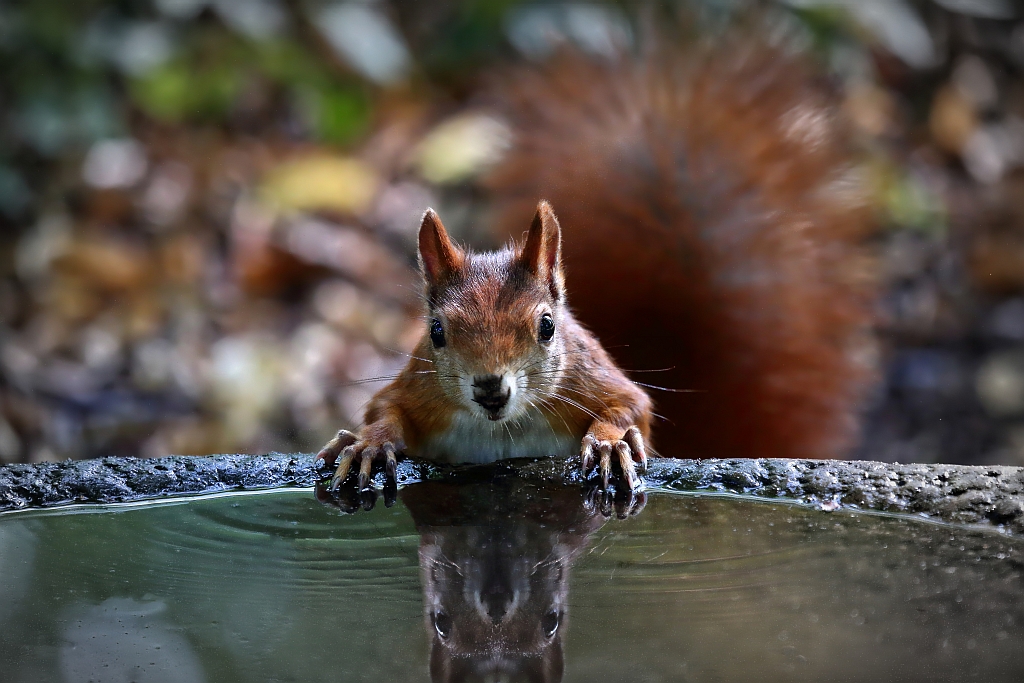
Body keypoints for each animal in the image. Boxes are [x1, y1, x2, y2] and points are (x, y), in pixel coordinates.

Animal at [315, 202, 651, 491]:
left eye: (548, 326)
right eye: (436, 331)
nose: (490, 390)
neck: (505, 425)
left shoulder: (588, 375)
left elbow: (630, 405)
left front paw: (608, 443)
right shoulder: (418, 387)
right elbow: (385, 408)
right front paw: (370, 443)